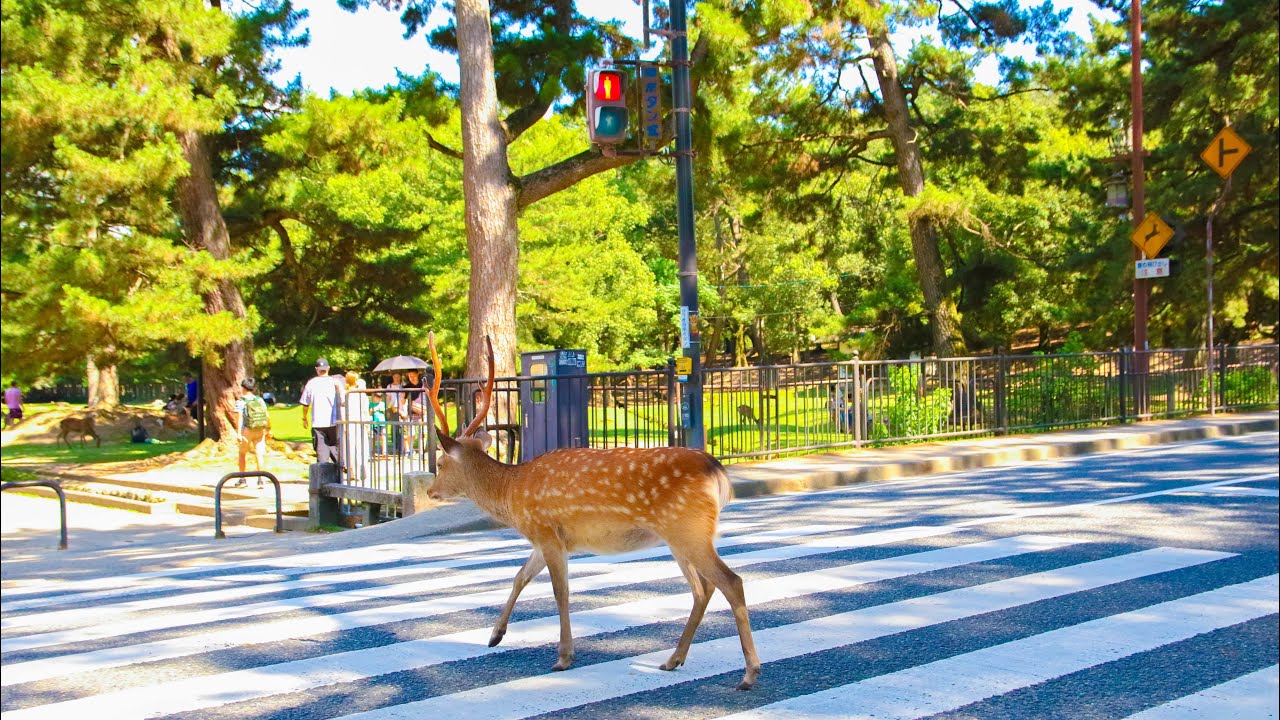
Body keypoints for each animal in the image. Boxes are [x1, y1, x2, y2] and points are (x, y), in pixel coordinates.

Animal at [424, 334, 761, 690]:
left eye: (441, 463)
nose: (431, 492)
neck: (511, 493)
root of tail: (718, 472)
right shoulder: (546, 539)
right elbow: (520, 577)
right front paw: (494, 635)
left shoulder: (546, 531)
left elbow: (560, 592)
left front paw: (563, 657)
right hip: (679, 536)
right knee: (703, 588)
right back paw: (673, 660)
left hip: (689, 528)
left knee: (731, 581)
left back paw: (749, 673)